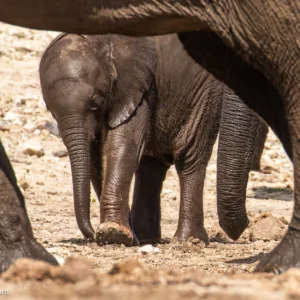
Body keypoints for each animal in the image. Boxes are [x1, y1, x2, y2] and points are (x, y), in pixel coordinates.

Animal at [39, 32, 264, 246]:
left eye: (95, 102)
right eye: (50, 110)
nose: (91, 233)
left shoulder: (138, 86)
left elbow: (122, 144)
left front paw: (113, 234)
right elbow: (96, 159)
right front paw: (119, 234)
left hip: (203, 92)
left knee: (188, 159)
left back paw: (186, 240)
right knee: (151, 166)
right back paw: (146, 239)